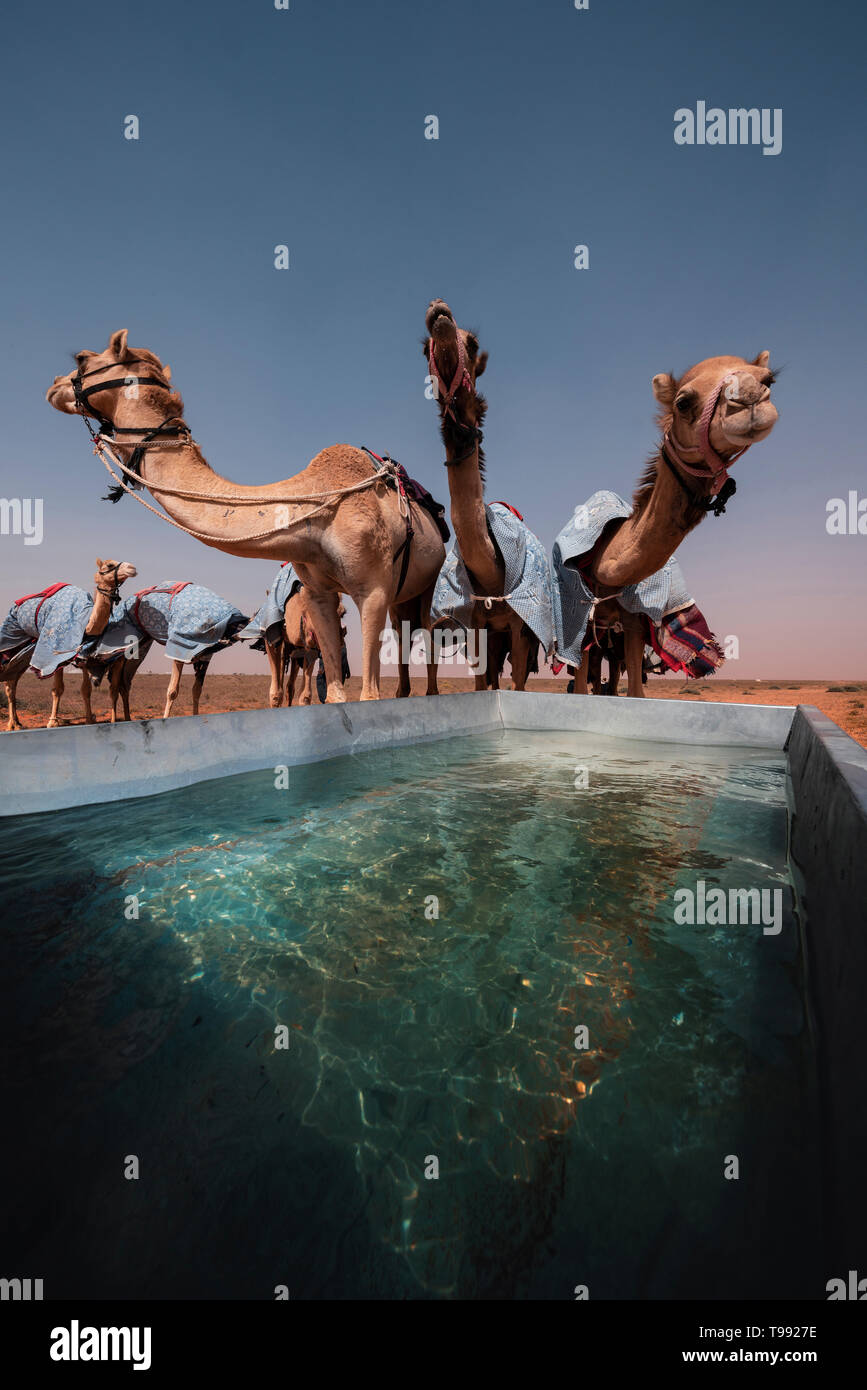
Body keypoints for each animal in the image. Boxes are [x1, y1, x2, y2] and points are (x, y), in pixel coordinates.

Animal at [0, 556, 136, 728]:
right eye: (110, 565)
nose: (132, 568)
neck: (86, 622)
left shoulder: (84, 657)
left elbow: (86, 690)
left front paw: (90, 720)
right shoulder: (57, 654)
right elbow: (57, 689)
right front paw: (52, 722)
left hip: (25, 652)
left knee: (12, 679)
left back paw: (16, 722)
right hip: (16, 636)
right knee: (9, 683)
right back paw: (13, 724)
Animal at [45, 329, 447, 700]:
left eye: (81, 359)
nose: (54, 385)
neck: (315, 513)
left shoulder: (372, 587)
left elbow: (369, 694)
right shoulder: (318, 591)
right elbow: (333, 690)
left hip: (425, 580)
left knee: (423, 630)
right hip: (398, 593)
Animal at [425, 298, 555, 689]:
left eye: (473, 344)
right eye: (425, 348)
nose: (439, 311)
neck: (492, 570)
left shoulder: (519, 626)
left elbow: (518, 683)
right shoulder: (479, 625)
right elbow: (483, 683)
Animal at [555, 347, 778, 695]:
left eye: (769, 381)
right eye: (683, 402)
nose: (751, 398)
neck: (605, 557)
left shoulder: (633, 620)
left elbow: (636, 690)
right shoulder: (583, 624)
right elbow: (580, 686)